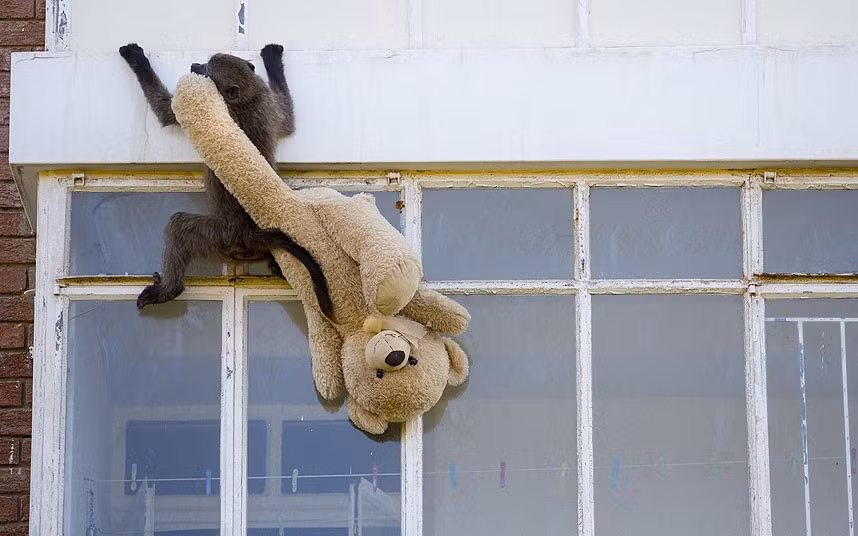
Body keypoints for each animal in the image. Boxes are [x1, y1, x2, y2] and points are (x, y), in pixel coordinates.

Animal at [118, 43, 333, 318]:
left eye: (207, 70)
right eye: (205, 63)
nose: (194, 66)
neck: (246, 97)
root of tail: (252, 234)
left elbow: (167, 111)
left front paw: (137, 58)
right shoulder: (268, 104)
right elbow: (287, 119)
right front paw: (273, 59)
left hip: (220, 236)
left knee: (178, 226)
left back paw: (169, 289)